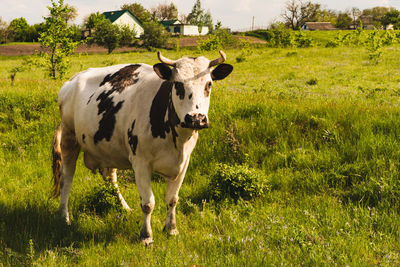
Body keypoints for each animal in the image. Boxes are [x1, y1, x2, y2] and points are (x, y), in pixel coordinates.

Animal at [52, 50, 234, 245]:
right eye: (178, 84)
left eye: (209, 84)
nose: (196, 118)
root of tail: (71, 81)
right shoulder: (140, 162)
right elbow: (148, 203)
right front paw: (146, 236)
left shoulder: (184, 162)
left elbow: (173, 199)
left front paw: (172, 229)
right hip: (69, 137)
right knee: (66, 178)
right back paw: (64, 217)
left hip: (108, 147)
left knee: (110, 177)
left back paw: (124, 208)